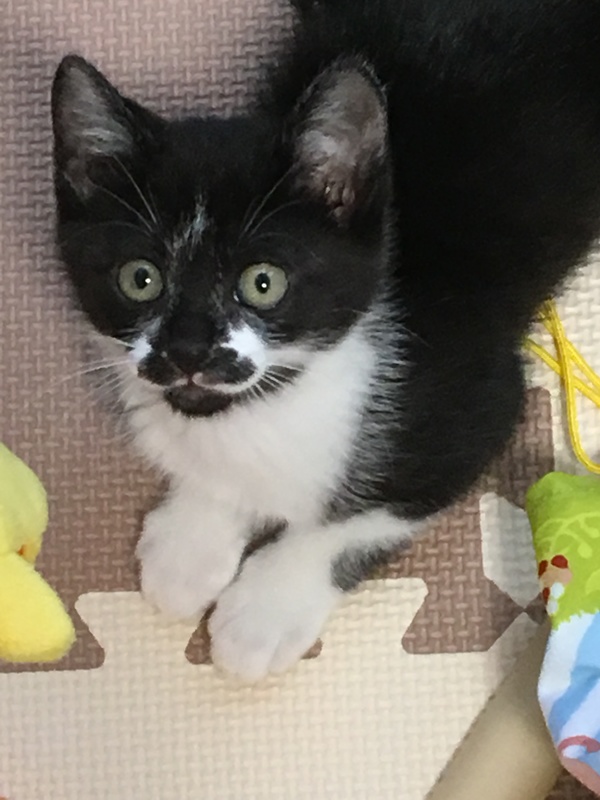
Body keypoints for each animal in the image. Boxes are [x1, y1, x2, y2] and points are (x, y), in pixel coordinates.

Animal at [51, 0, 600, 681]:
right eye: (139, 278)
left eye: (263, 283)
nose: (188, 351)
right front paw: (191, 544)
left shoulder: (478, 400)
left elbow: (359, 518)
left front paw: (264, 611)